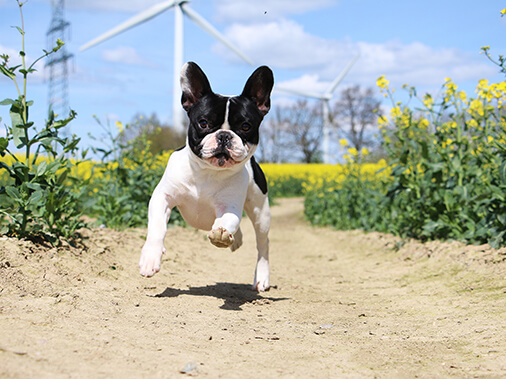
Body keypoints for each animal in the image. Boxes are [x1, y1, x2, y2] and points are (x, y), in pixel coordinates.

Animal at [137, 62, 272, 292]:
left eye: (246, 126)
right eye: (203, 123)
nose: (224, 136)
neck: (207, 172)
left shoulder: (229, 207)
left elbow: (227, 221)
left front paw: (221, 234)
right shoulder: (163, 197)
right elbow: (157, 227)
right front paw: (150, 257)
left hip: (261, 213)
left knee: (262, 246)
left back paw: (261, 277)